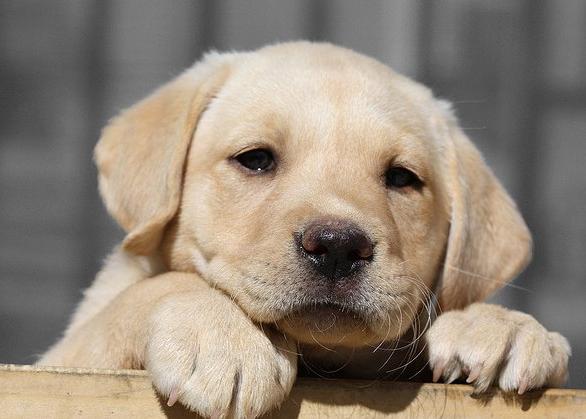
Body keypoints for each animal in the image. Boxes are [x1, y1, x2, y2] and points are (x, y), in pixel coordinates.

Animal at [38, 41, 568, 416]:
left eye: (402, 178)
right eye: (255, 159)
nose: (337, 247)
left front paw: (502, 325)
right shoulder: (62, 362)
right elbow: (152, 289)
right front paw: (224, 337)